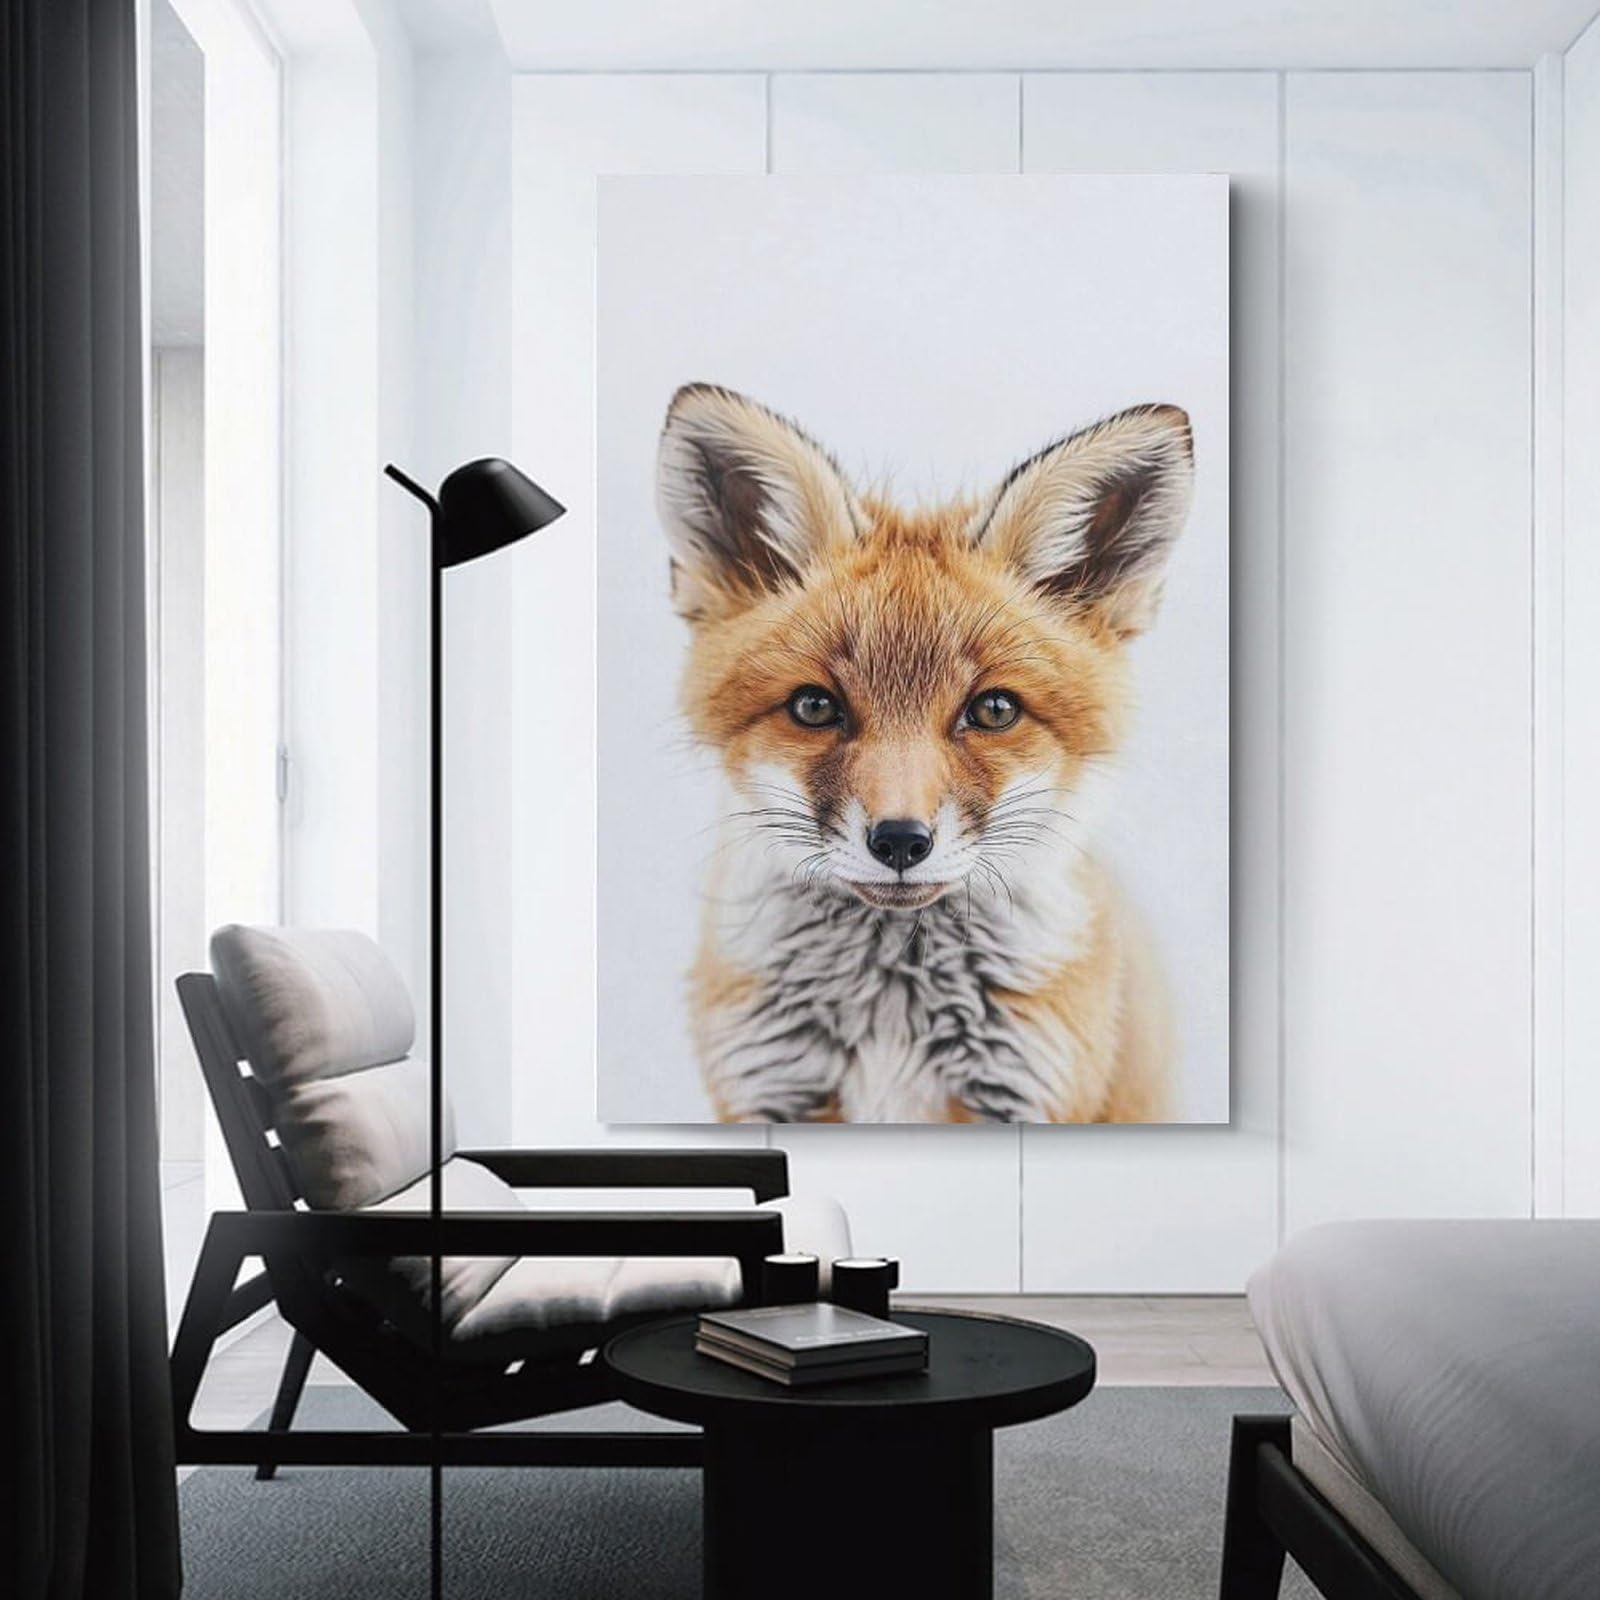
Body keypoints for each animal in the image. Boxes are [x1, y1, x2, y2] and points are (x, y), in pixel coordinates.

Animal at [655, 383, 1195, 1124]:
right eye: (815, 707)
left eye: (993, 711)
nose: (901, 842)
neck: (892, 1015)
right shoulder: (772, 1087)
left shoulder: (1025, 1089)